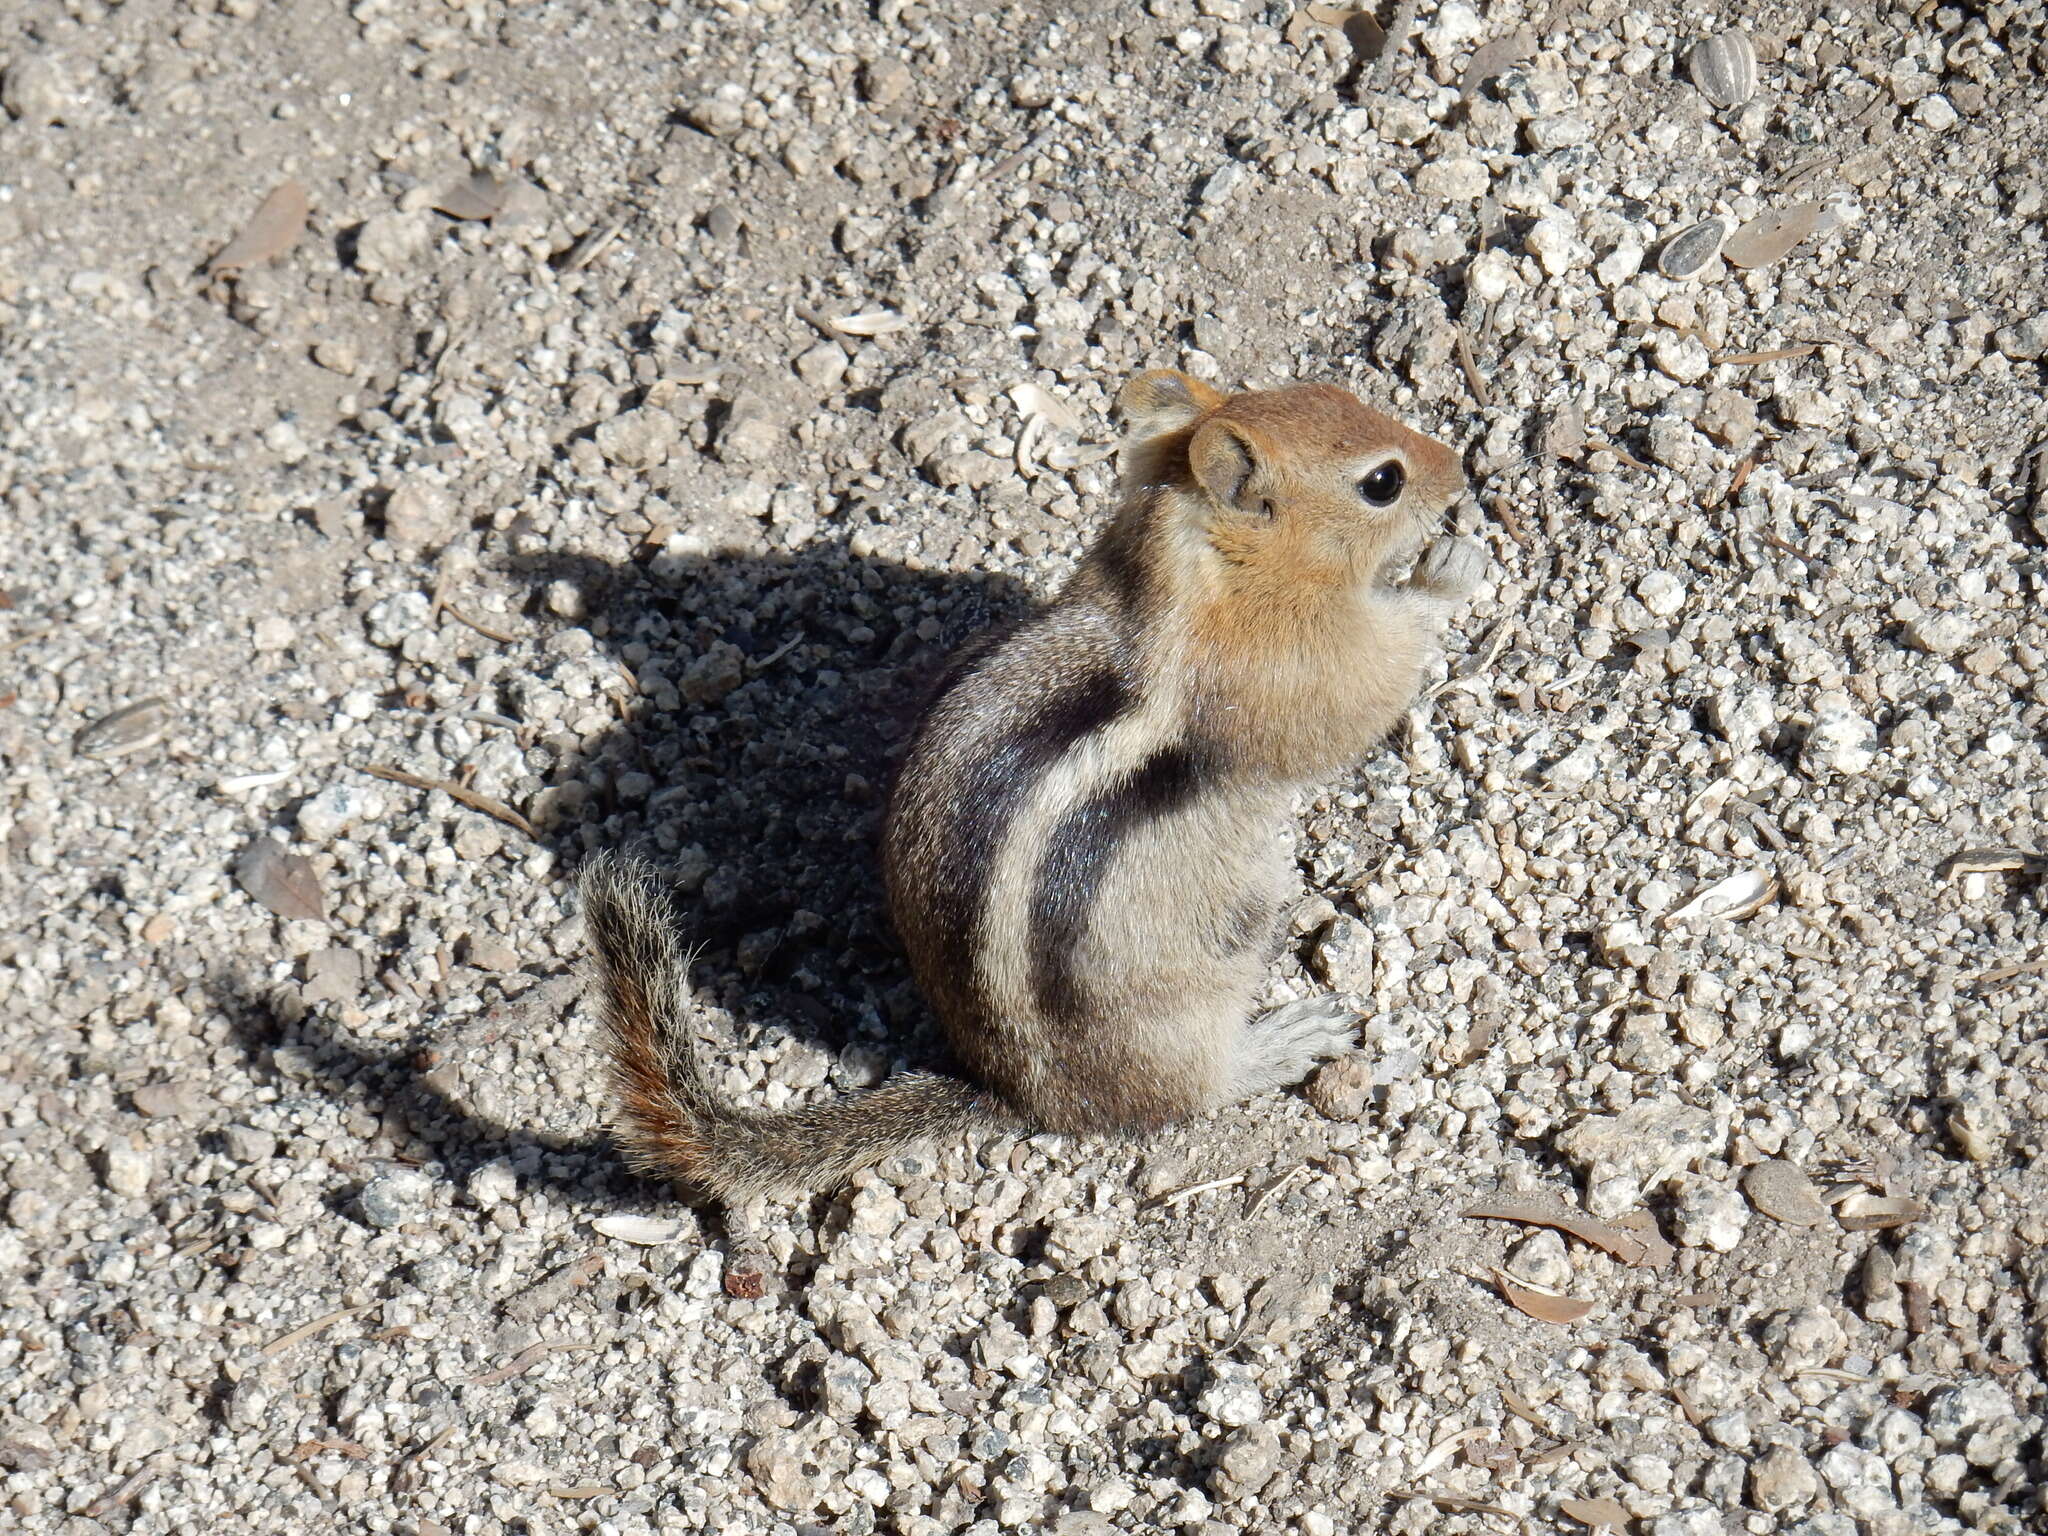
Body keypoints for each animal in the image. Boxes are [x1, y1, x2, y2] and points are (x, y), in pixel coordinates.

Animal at [585, 370, 1482, 1204]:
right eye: (1383, 482)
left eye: (1341, 393)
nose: (1461, 470)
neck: (1190, 564)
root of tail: (1016, 1094)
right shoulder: (1293, 668)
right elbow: (1367, 692)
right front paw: (1445, 574)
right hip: (1187, 1015)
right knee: (1196, 1090)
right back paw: (1288, 1038)